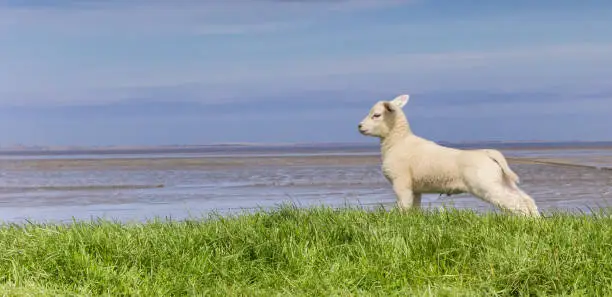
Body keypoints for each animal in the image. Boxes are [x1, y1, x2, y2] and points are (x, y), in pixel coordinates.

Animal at [358, 93, 540, 216]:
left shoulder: (401, 183)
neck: (398, 141)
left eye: (376, 115)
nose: (359, 126)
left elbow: (404, 207)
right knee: (526, 199)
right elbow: (414, 209)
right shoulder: (415, 189)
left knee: (517, 203)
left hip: (486, 184)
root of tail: (490, 153)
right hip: (501, 180)